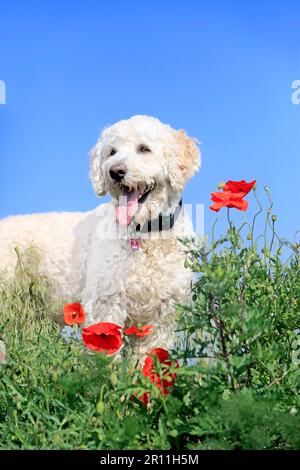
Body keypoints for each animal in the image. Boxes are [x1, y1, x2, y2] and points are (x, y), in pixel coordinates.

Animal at [1, 115, 202, 354]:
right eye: (112, 152)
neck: (145, 233)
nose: (115, 171)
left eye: (144, 149)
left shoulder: (163, 316)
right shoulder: (105, 303)